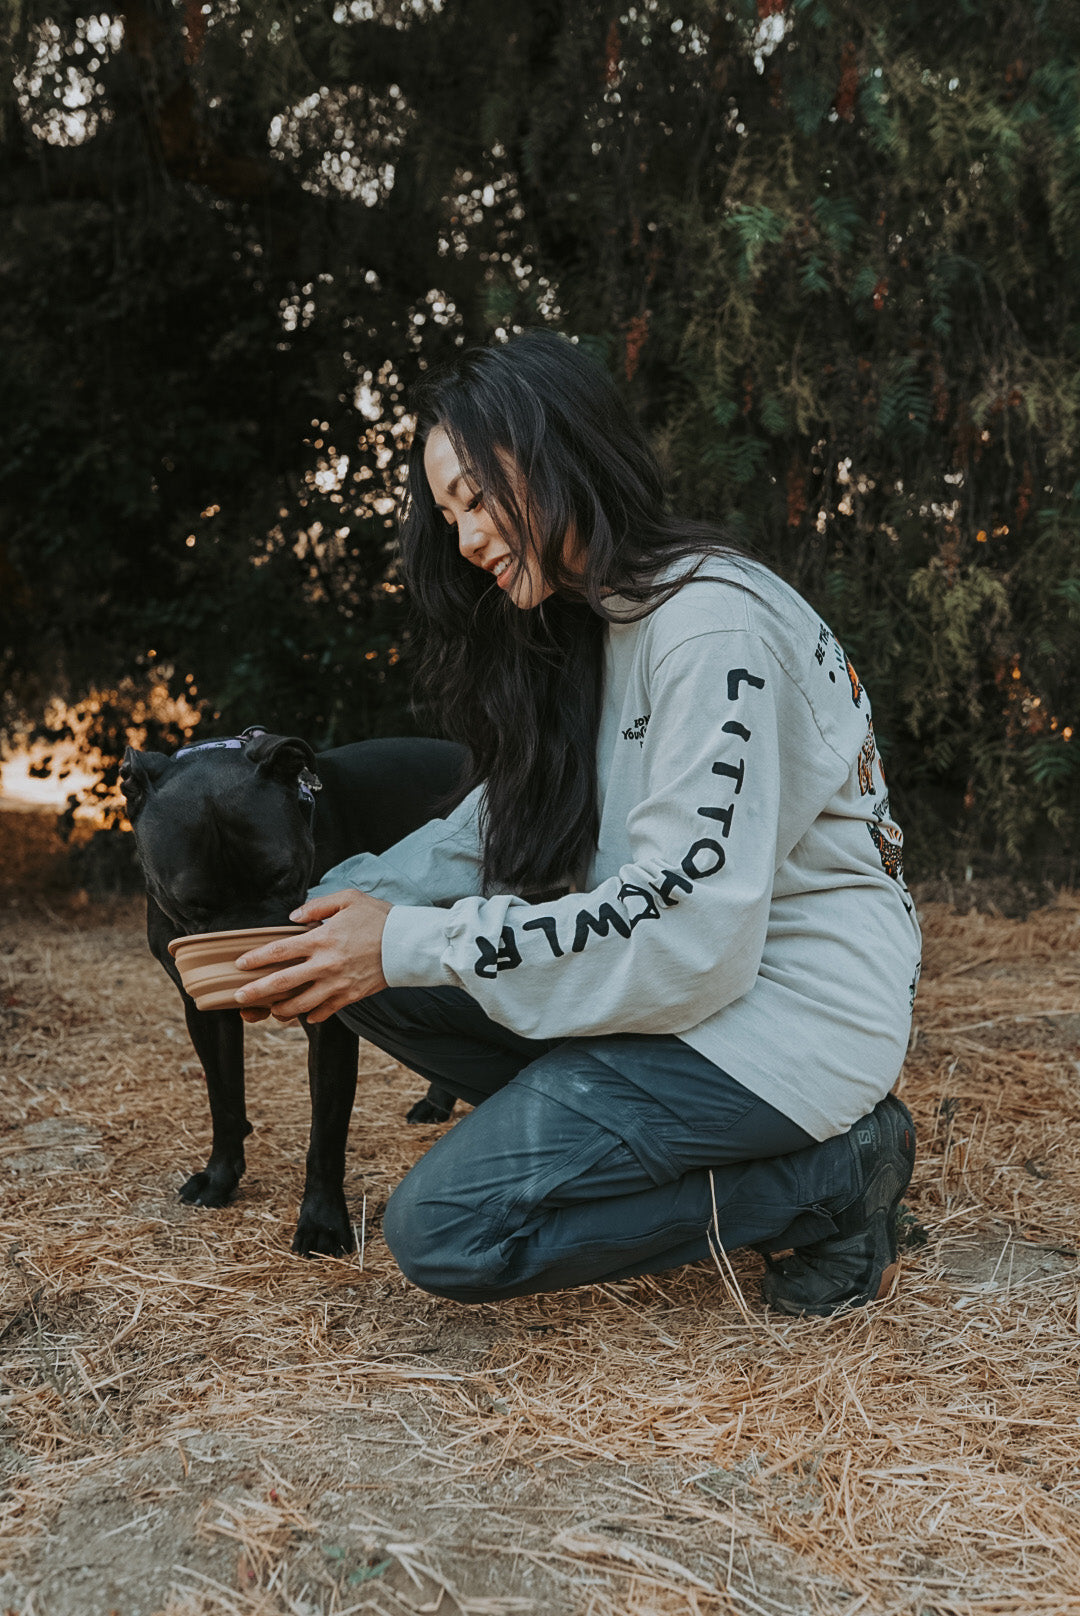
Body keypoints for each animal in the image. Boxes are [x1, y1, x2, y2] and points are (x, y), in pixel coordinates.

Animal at [121, 733, 465, 1260]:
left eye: (282, 875)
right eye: (191, 904)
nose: (246, 948)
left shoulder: (330, 1018)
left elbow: (325, 1132)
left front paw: (322, 1221)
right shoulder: (204, 1014)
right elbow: (223, 1099)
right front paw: (220, 1178)